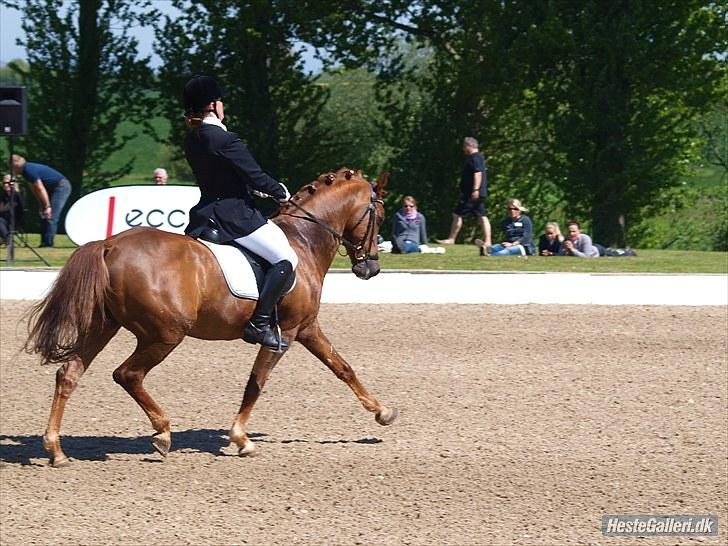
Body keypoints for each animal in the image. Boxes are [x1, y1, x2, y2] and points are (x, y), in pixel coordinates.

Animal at [24, 167, 398, 467]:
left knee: (69, 374)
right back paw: (162, 433)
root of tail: (109, 244)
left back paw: (56, 451)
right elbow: (256, 383)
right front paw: (241, 439)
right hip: (164, 334)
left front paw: (382, 412)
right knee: (127, 374)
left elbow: (342, 367)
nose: (370, 269)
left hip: (104, 326)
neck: (304, 241)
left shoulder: (307, 328)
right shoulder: (286, 334)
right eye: (380, 215)